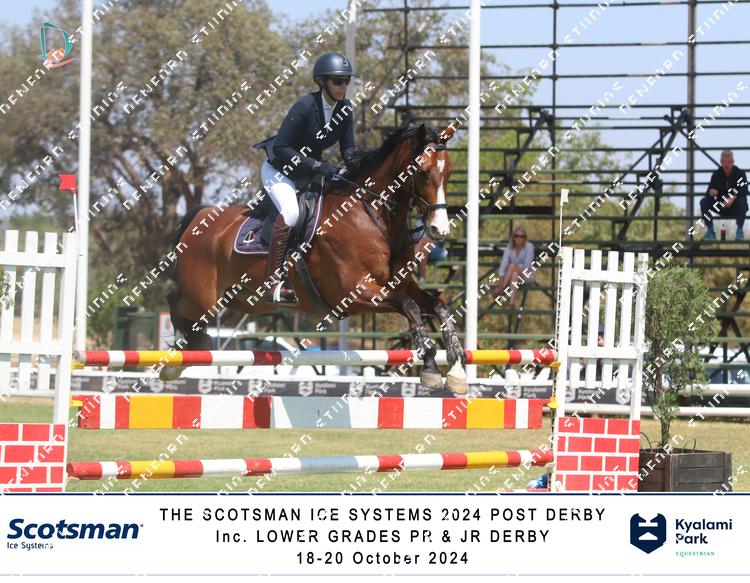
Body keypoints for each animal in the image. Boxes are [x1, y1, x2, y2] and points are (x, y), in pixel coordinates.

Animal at [163, 123, 467, 393]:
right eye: (423, 173)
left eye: (450, 172)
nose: (439, 229)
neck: (373, 215)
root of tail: (200, 217)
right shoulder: (353, 294)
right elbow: (411, 308)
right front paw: (430, 368)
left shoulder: (400, 286)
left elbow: (439, 306)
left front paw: (456, 370)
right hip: (202, 298)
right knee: (175, 303)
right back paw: (176, 359)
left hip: (241, 299)